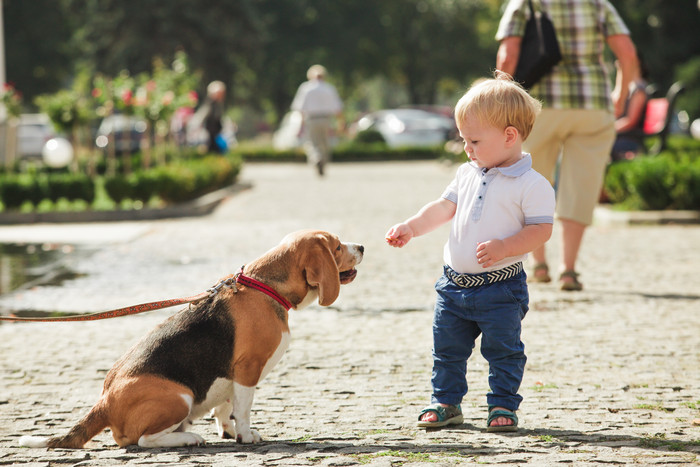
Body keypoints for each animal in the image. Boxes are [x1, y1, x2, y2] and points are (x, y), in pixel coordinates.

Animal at [19, 230, 364, 450]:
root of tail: (103, 402)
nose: (361, 246)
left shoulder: (228, 373)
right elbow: (244, 408)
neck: (264, 286)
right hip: (179, 397)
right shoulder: (247, 370)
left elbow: (225, 406)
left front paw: (228, 431)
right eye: (336, 246)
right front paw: (246, 435)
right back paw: (188, 439)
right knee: (141, 440)